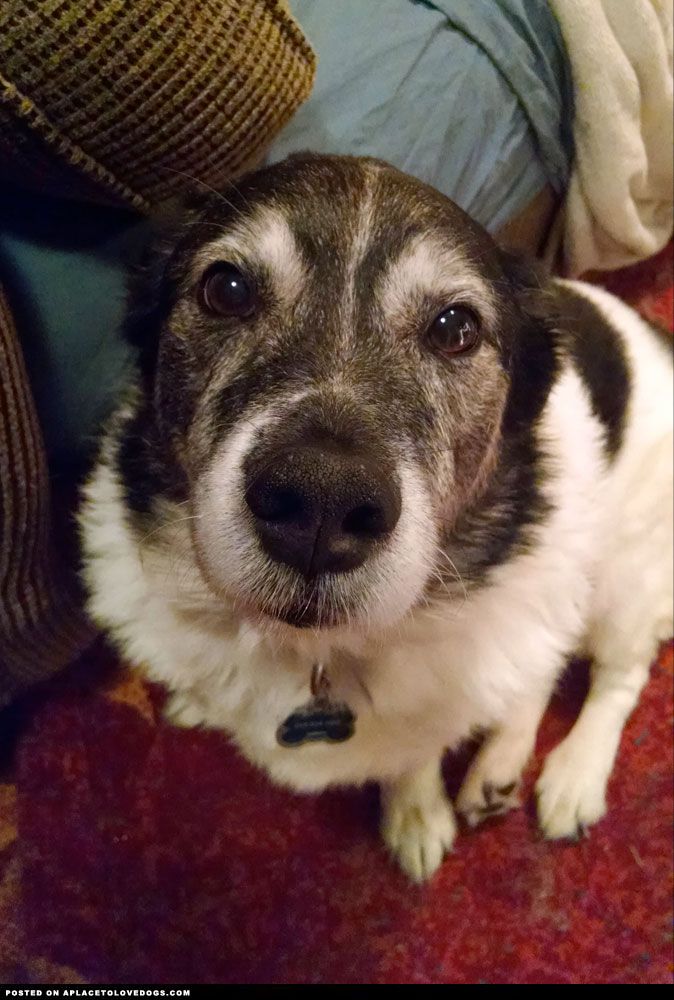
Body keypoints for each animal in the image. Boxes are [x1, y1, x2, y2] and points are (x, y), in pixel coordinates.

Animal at [80, 152, 672, 880]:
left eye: (456, 328)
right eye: (226, 289)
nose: (321, 502)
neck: (314, 650)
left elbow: (414, 753)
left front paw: (415, 813)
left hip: (626, 577)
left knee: (618, 675)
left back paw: (573, 776)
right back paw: (498, 769)